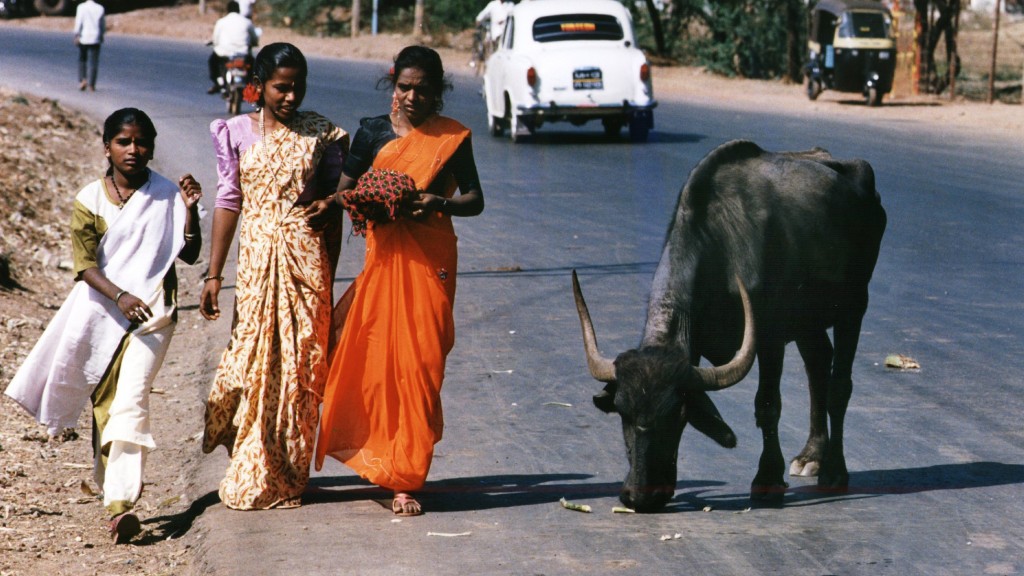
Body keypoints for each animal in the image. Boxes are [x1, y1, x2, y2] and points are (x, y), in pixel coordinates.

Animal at [573, 139, 884, 510]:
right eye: (622, 412)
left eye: (676, 414)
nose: (639, 496)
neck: (721, 250)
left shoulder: (770, 339)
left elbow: (768, 405)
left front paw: (767, 479)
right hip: (808, 321)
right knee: (819, 364)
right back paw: (811, 456)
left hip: (854, 305)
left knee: (839, 386)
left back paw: (834, 470)